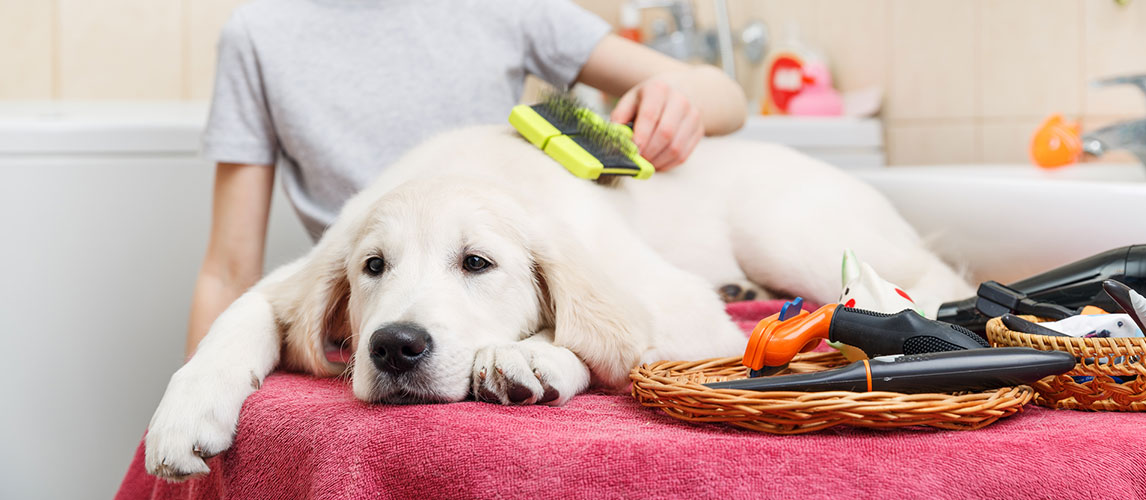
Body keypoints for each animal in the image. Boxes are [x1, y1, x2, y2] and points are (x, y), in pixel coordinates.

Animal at [140, 126, 967, 479]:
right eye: (373, 267)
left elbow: (606, 331)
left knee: (924, 276)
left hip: (790, 230)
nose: (395, 347)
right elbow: (240, 314)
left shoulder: (677, 306)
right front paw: (182, 419)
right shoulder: (301, 269)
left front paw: (528, 357)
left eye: (478, 263)